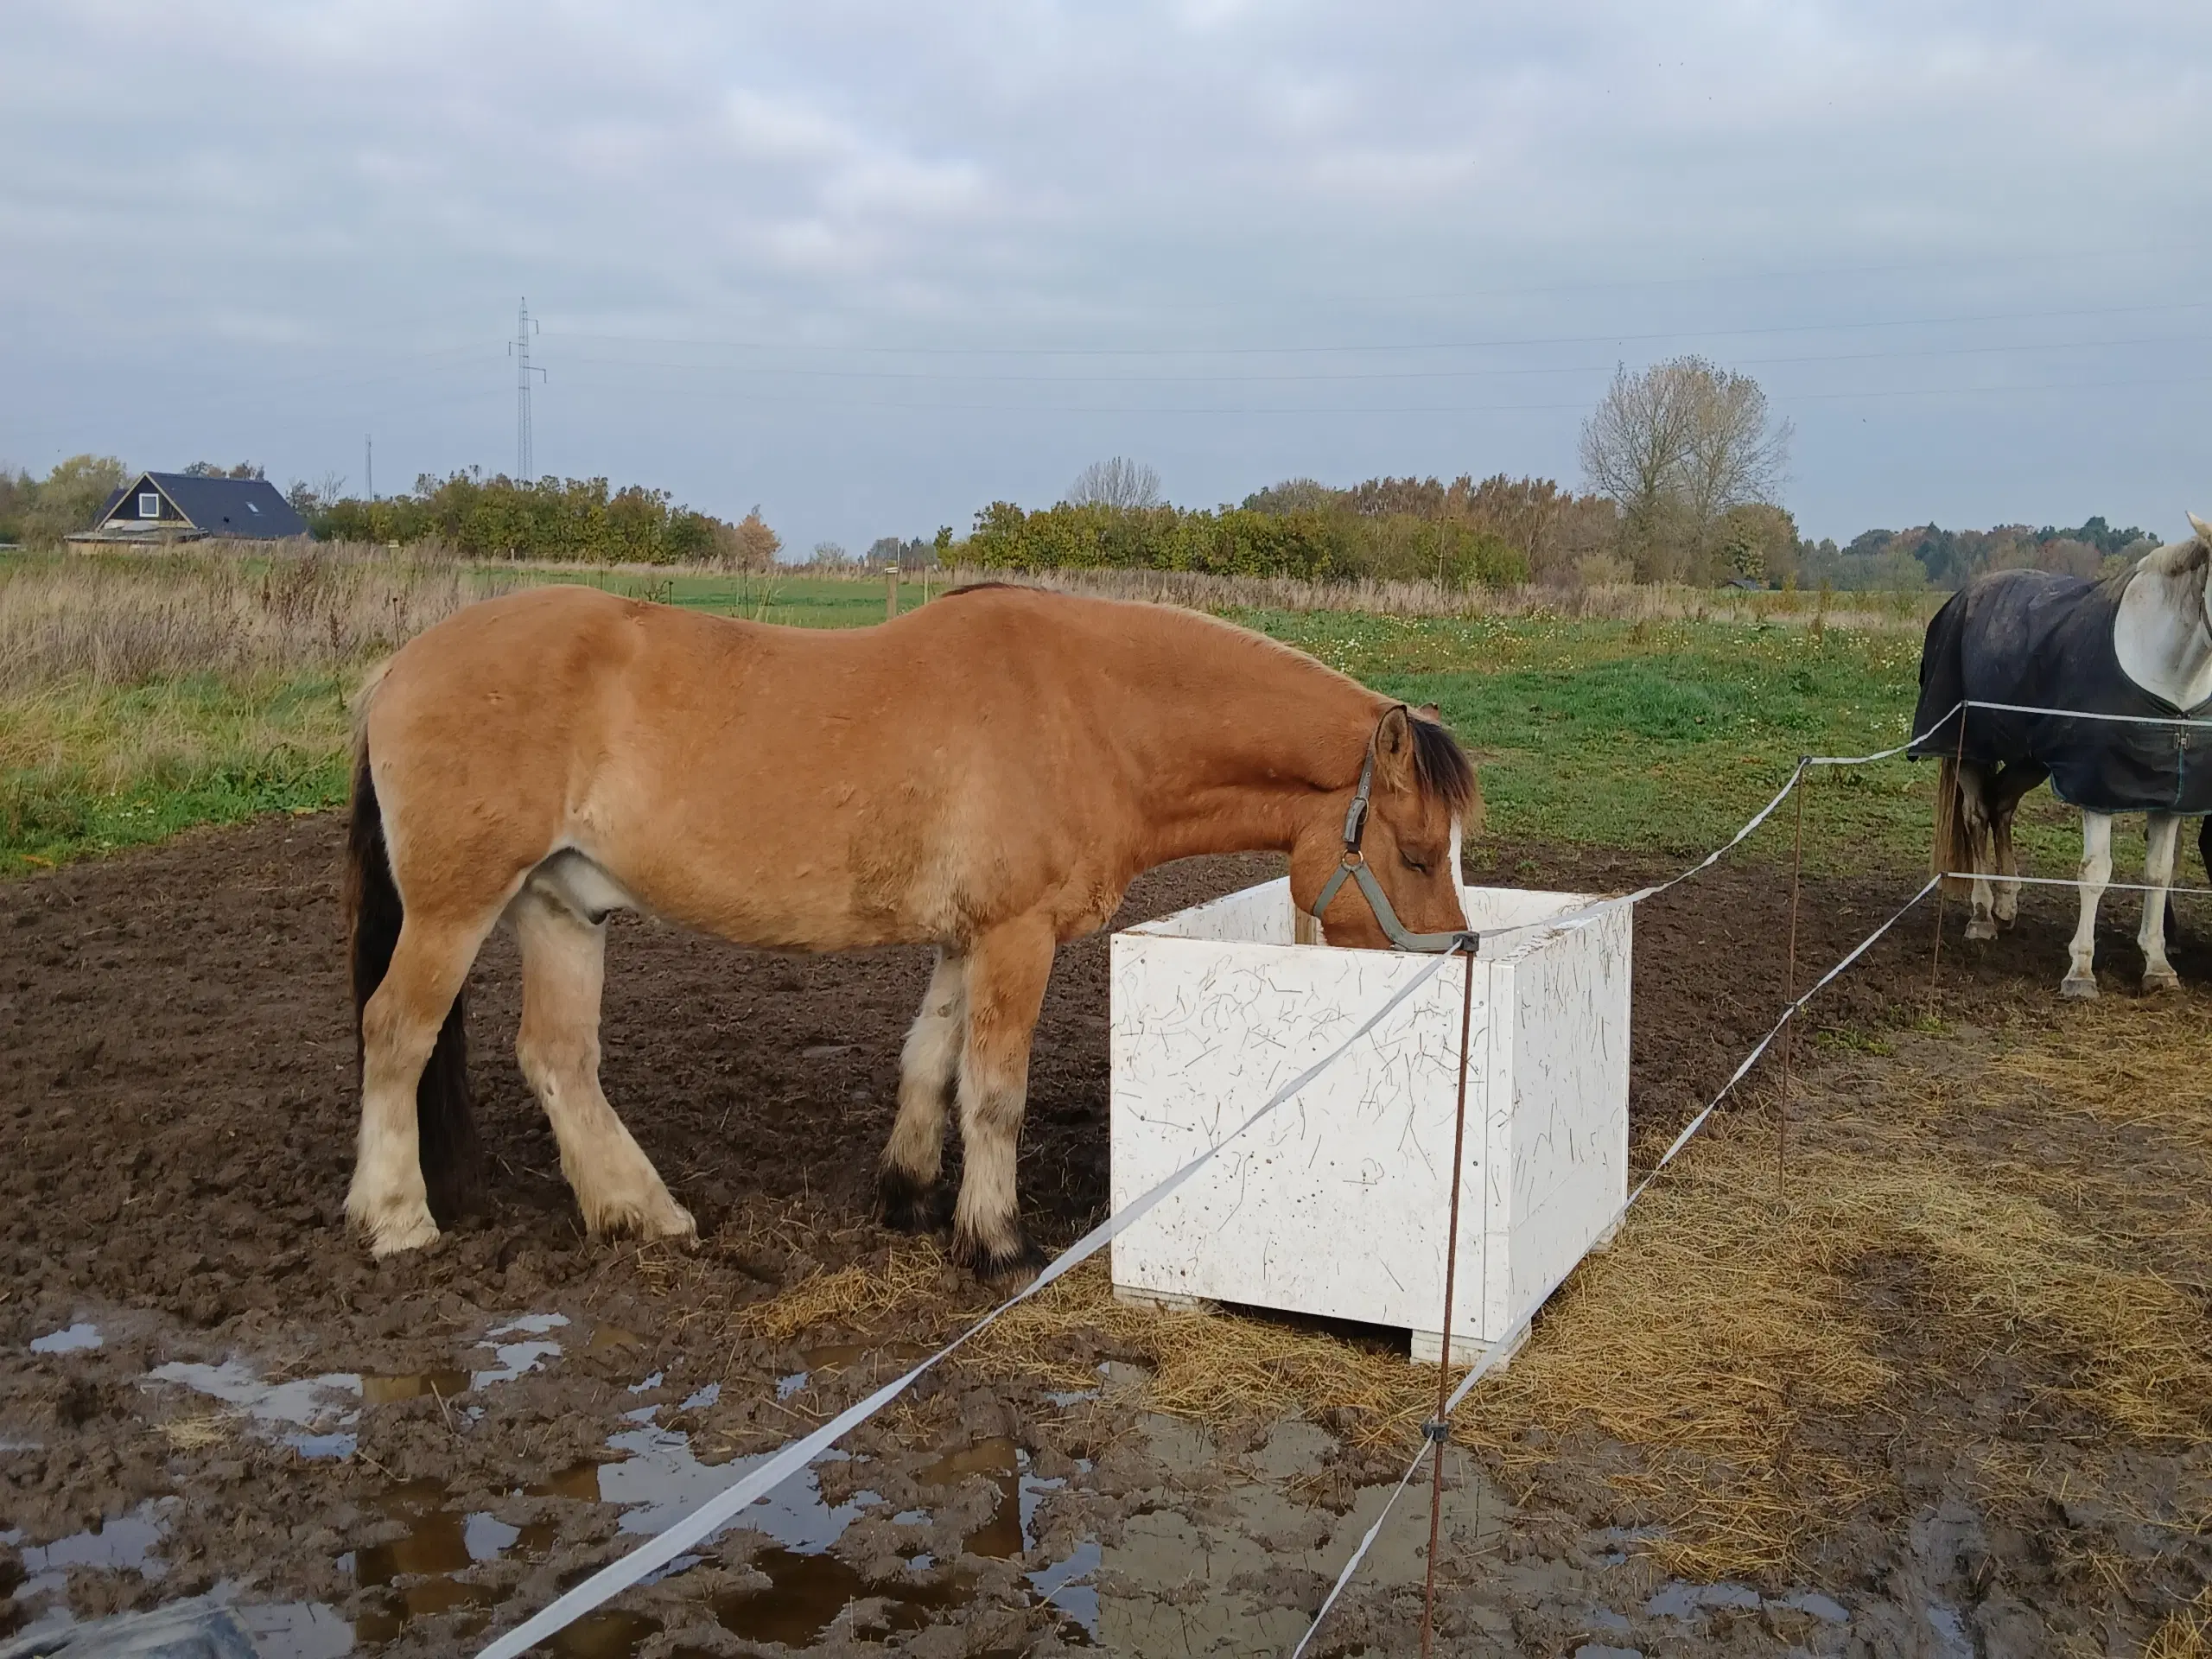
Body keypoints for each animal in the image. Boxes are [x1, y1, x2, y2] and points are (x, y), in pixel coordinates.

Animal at [345, 583, 1478, 1274]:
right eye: (1420, 855)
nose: (1456, 952)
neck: (1087, 714)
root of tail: (398, 668)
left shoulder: (965, 939)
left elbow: (928, 1064)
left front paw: (910, 1199)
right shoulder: (1017, 937)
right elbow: (995, 1094)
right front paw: (997, 1240)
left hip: (562, 905)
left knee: (558, 1057)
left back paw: (641, 1213)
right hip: (457, 905)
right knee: (397, 1033)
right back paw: (396, 1220)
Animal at [1910, 512, 2212, 995]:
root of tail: (1962, 596)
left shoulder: (2169, 798)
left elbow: (2159, 874)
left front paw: (2158, 967)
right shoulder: (2096, 791)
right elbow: (2095, 872)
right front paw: (2081, 973)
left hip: (2028, 760)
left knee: (2000, 806)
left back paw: (2007, 903)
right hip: (1969, 750)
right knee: (1976, 815)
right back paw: (1982, 916)